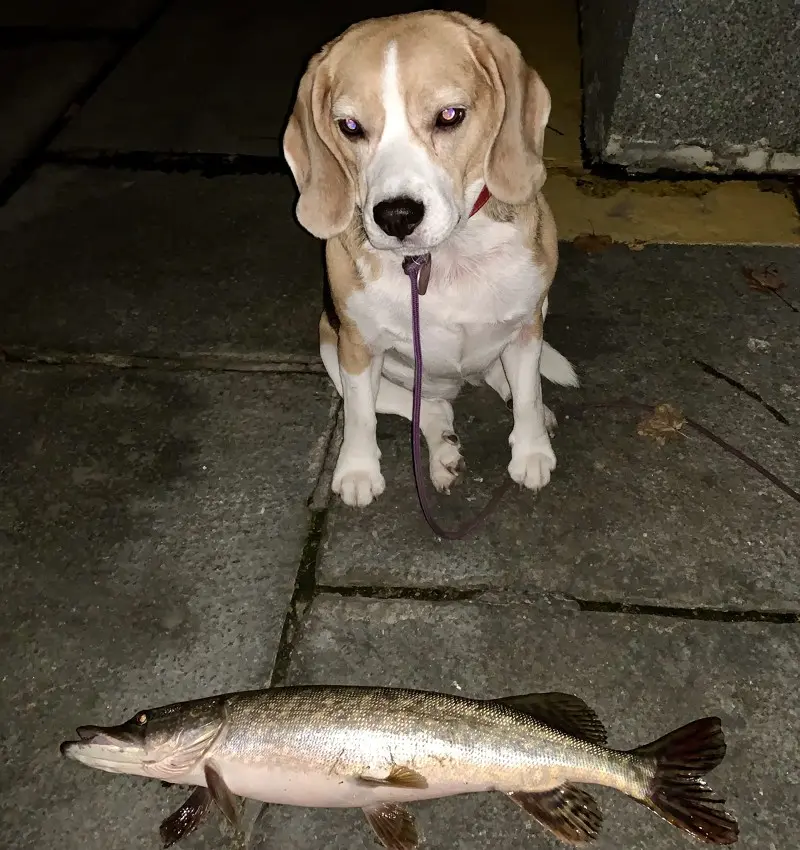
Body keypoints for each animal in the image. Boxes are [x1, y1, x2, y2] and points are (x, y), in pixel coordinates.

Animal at [284, 11, 580, 504]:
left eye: (449, 116)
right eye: (349, 127)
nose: (395, 216)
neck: (441, 257)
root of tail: (458, 381)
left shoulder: (526, 327)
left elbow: (530, 395)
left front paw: (532, 450)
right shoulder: (356, 348)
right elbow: (360, 417)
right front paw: (357, 469)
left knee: (500, 382)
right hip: (332, 347)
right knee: (432, 407)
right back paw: (443, 454)